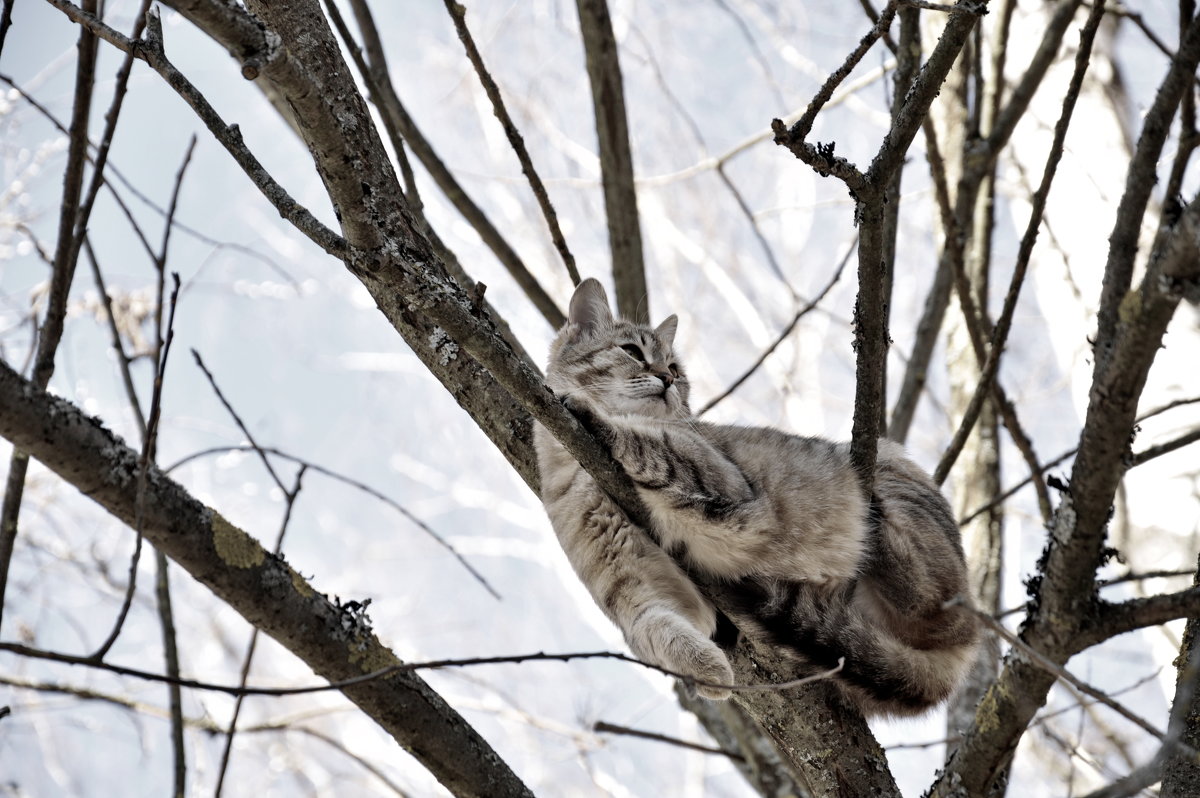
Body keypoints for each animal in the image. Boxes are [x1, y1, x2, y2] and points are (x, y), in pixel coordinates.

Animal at [535, 279, 974, 715]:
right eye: (631, 351)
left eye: (674, 368)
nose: (666, 378)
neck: (577, 472)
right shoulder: (633, 591)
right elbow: (657, 630)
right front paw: (709, 671)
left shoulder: (718, 476)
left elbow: (642, 440)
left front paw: (594, 414)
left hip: (893, 479)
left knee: (922, 592)